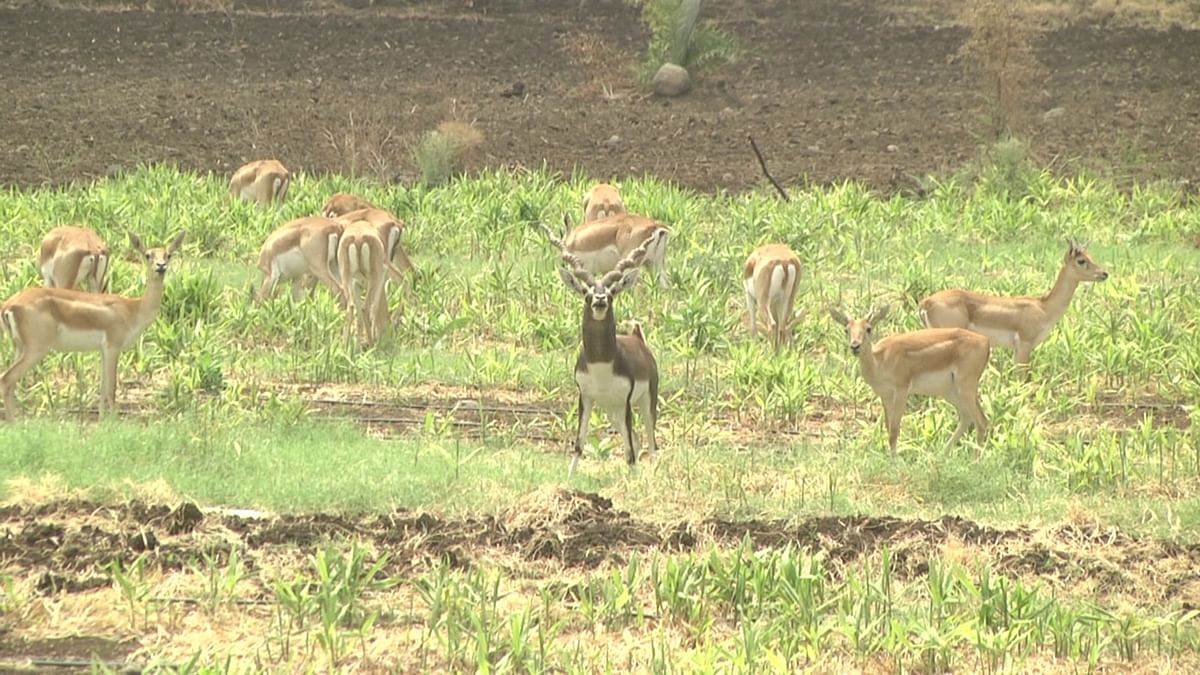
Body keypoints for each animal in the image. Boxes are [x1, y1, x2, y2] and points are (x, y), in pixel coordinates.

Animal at [1, 234, 186, 417]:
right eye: (148, 255)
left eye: (168, 254)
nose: (160, 266)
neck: (133, 309)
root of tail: (9, 305)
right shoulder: (113, 347)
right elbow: (111, 389)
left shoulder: (103, 351)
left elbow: (103, 389)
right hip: (36, 349)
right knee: (6, 379)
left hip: (19, 347)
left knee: (9, 382)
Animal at [542, 223, 657, 475]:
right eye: (586, 293)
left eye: (612, 292)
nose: (600, 299)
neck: (602, 366)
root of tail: (637, 338)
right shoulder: (586, 397)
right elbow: (579, 443)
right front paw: (570, 478)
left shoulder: (625, 401)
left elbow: (630, 451)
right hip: (610, 410)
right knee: (635, 438)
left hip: (644, 401)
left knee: (651, 442)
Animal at [830, 303, 988, 451]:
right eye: (846, 330)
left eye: (868, 328)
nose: (855, 346)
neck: (880, 361)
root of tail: (985, 342)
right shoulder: (885, 395)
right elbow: (888, 428)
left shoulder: (902, 389)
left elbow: (894, 431)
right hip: (951, 392)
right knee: (967, 417)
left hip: (965, 387)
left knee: (981, 421)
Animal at [921, 241, 1108, 379]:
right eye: (1081, 260)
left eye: (1091, 256)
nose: (1104, 273)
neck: (1043, 307)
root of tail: (926, 302)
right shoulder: (1024, 344)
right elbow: (1023, 377)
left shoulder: (1017, 349)